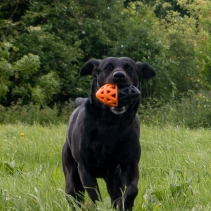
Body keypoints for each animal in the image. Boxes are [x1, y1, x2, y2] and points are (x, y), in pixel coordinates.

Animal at [61, 56, 156, 210]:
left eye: (129, 68)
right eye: (107, 67)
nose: (119, 75)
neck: (110, 123)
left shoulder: (130, 164)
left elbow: (132, 189)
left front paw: (125, 204)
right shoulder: (85, 169)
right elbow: (95, 197)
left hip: (114, 178)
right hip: (72, 178)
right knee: (74, 196)